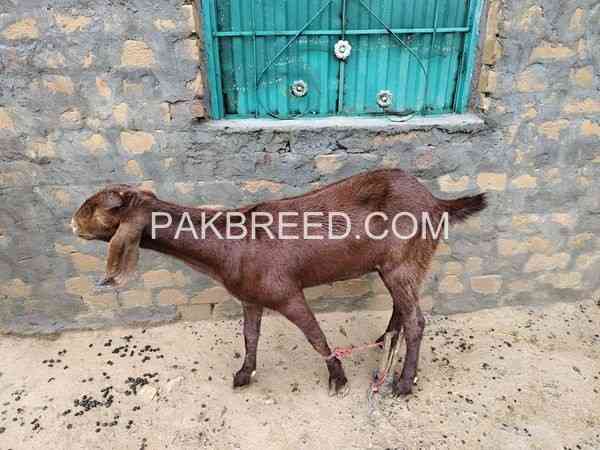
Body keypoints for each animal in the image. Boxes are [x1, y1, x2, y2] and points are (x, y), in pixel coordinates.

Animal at [72, 170, 488, 398]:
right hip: (395, 265)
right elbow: (249, 335)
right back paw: (386, 343)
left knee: (416, 319)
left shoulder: (286, 292)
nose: (73, 223)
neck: (230, 243)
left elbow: (315, 334)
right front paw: (245, 374)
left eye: (97, 207)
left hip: (404, 259)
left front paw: (337, 377)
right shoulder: (250, 296)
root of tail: (436, 203)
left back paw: (403, 382)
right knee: (403, 308)